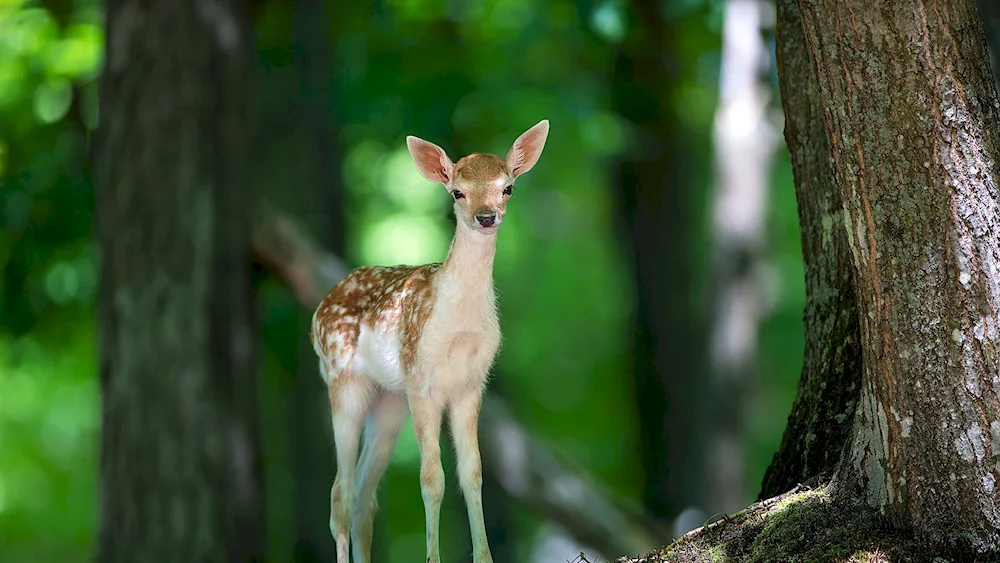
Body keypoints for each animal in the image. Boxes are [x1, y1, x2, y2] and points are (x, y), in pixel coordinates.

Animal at [310, 121, 552, 563]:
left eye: (507, 187)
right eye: (457, 191)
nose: (486, 217)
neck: (460, 325)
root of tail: (320, 307)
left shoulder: (471, 385)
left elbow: (472, 473)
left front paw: (485, 557)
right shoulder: (421, 380)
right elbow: (431, 478)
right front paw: (433, 558)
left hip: (389, 400)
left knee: (364, 498)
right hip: (343, 380)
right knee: (340, 495)